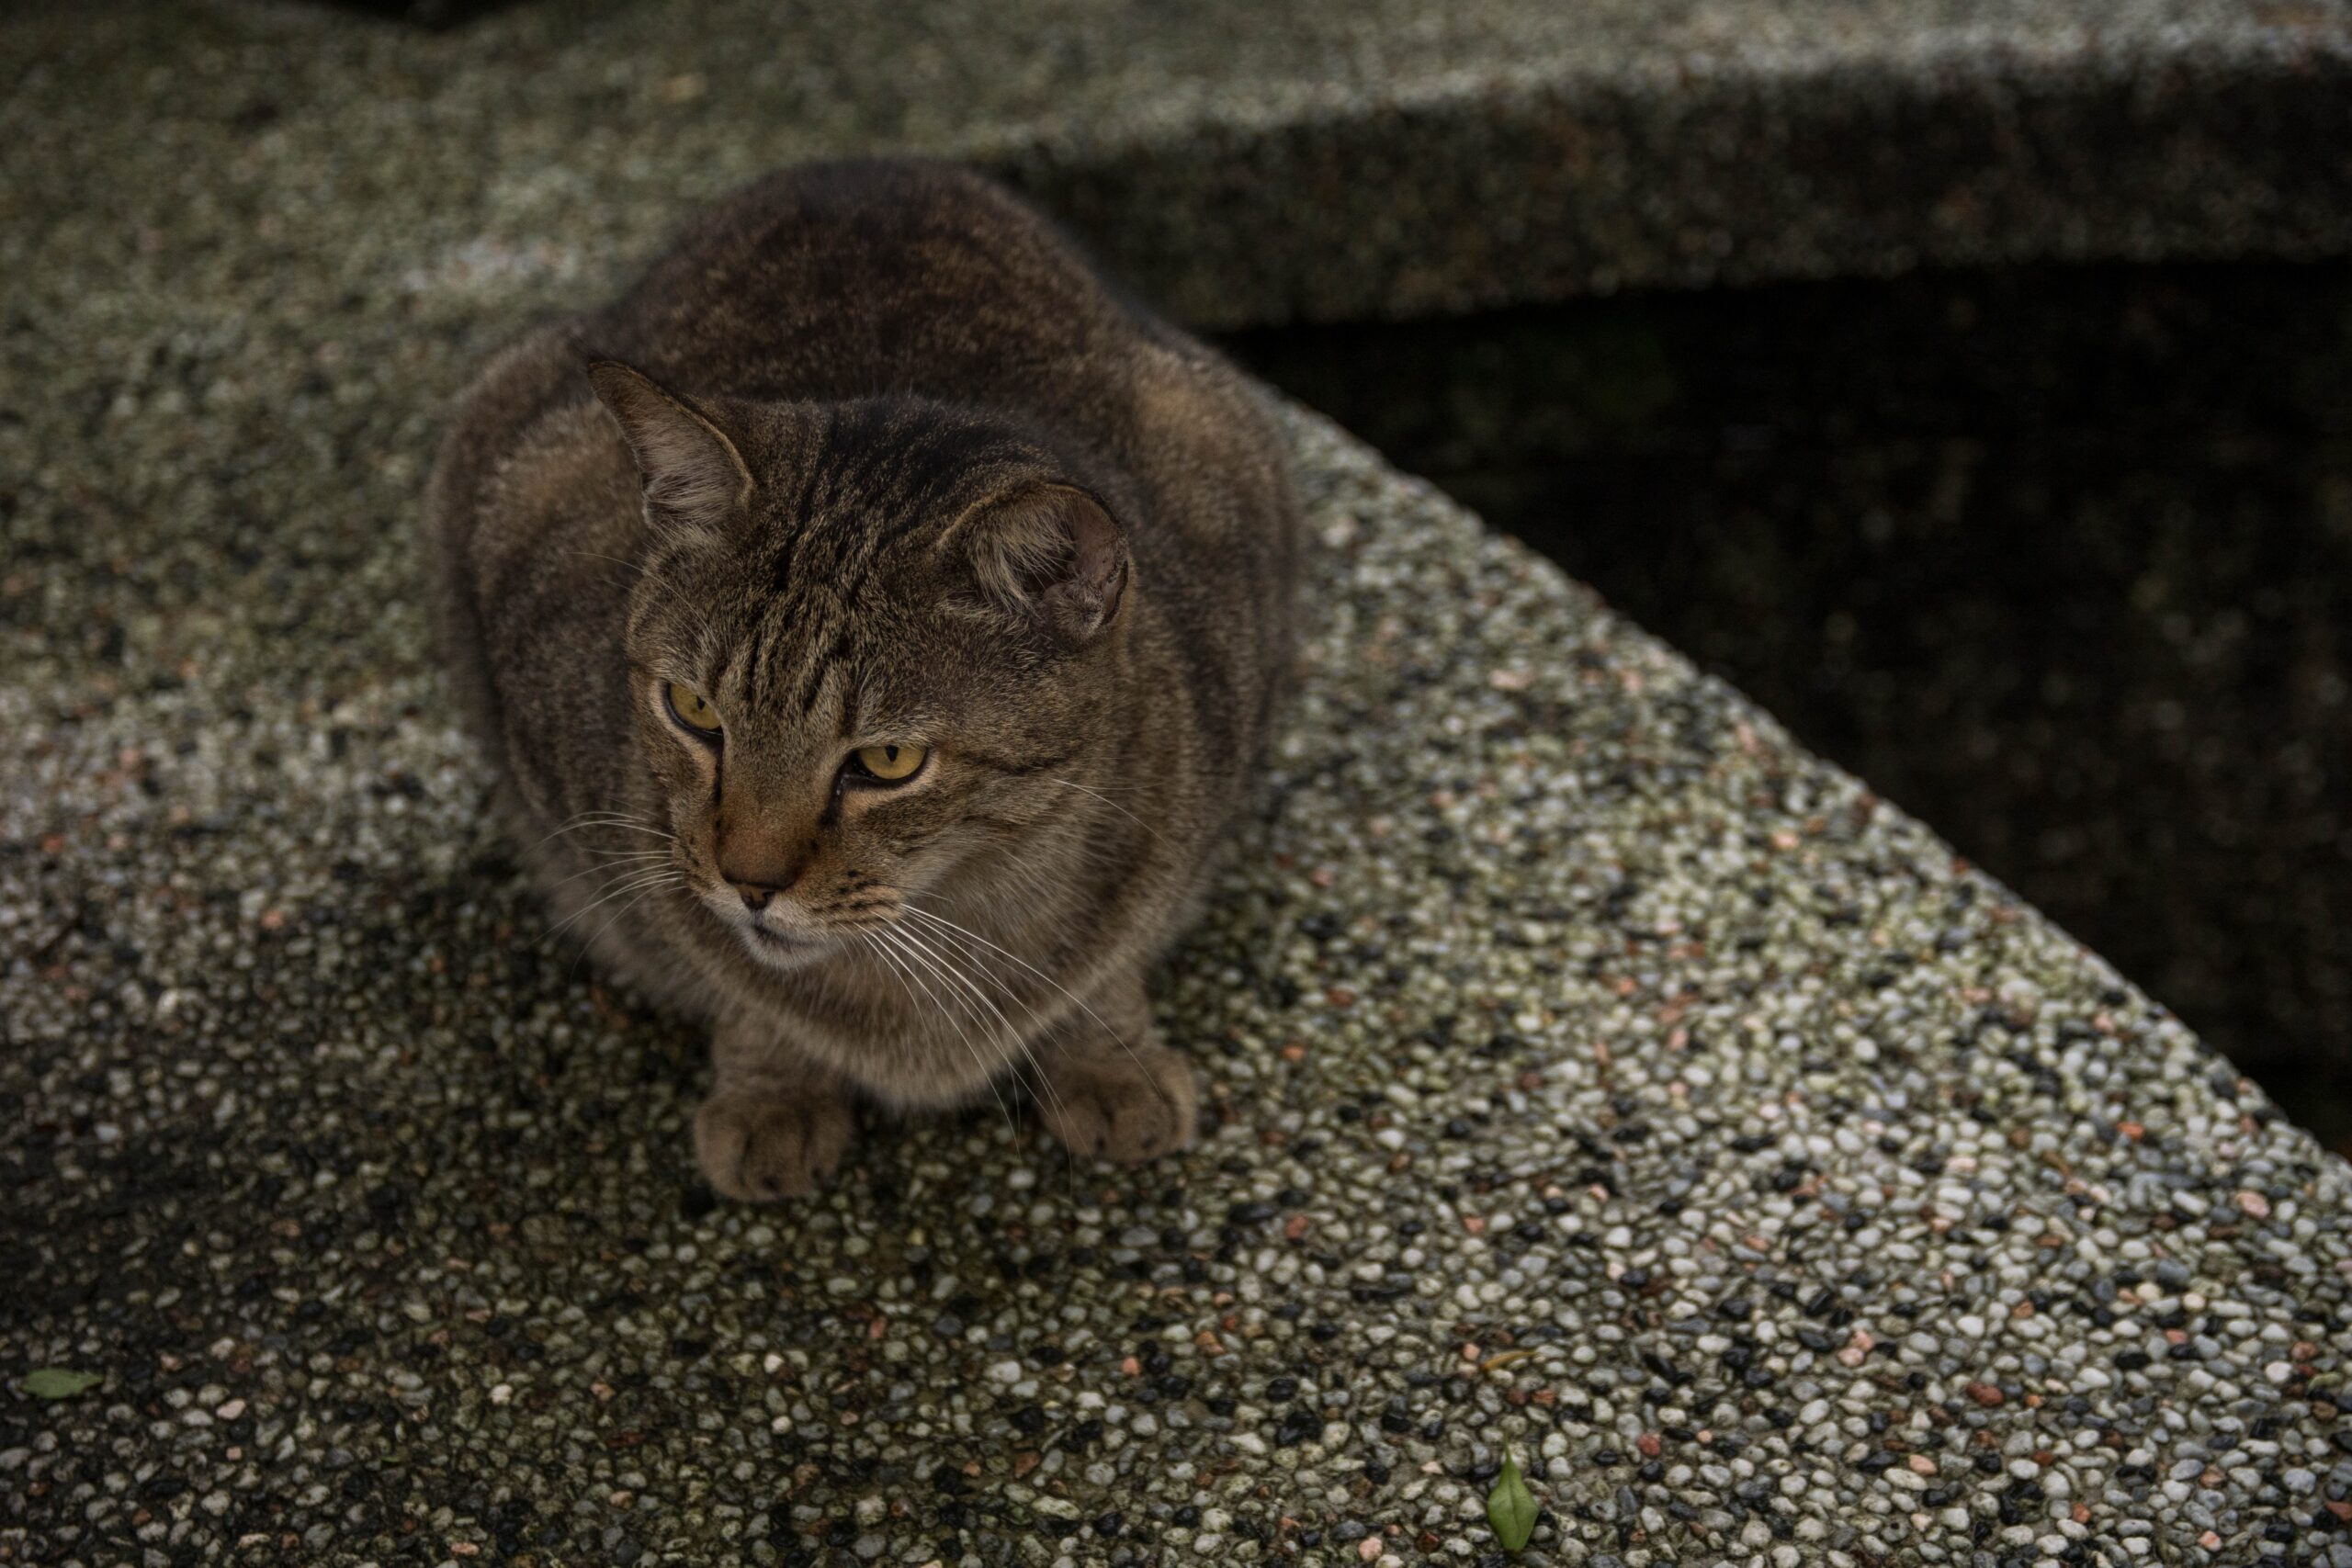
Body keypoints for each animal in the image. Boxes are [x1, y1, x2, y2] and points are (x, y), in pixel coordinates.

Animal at [423, 160, 1307, 1203]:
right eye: (692, 710)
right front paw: (771, 1088)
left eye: (887, 761)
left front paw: (1109, 1057)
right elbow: (728, 971)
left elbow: (1110, 958)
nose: (749, 882)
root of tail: (861, 168)